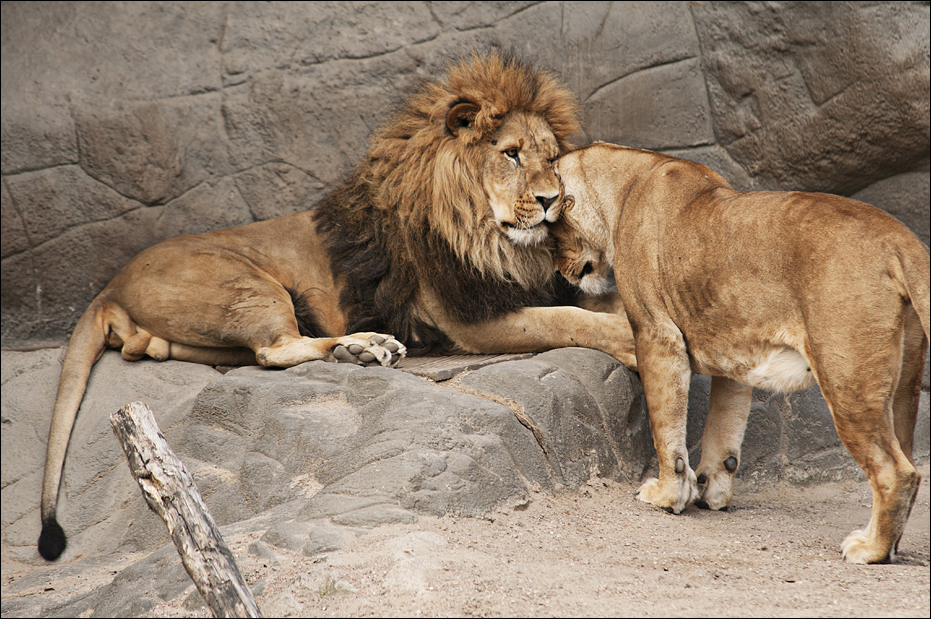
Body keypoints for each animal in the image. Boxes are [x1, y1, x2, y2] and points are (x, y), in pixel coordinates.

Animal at [37, 52, 637, 561]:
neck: (494, 239)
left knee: (210, 351)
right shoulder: (470, 320)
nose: (551, 200)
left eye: (551, 159)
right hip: (251, 284)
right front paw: (630, 339)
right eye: (509, 153)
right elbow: (568, 318)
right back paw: (366, 347)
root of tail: (110, 284)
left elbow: (598, 302)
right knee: (276, 350)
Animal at [551, 142, 929, 564]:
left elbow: (666, 429)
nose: (560, 272)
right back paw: (890, 545)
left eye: (553, 230)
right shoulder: (734, 354)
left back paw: (869, 548)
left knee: (896, 471)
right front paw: (711, 492)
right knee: (909, 459)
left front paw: (667, 496)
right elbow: (724, 429)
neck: (627, 182)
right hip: (903, 388)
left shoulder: (657, 334)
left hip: (847, 380)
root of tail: (901, 238)